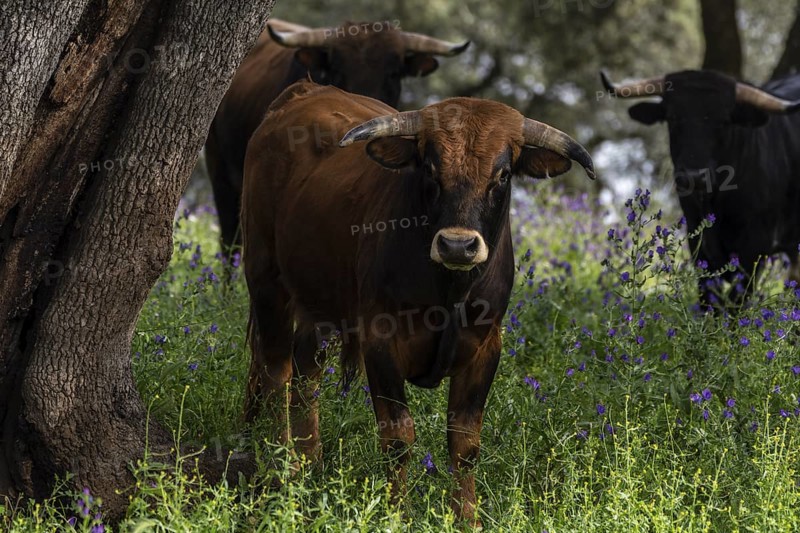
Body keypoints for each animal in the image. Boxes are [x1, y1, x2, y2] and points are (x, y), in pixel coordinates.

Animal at [241, 80, 594, 522]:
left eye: (503, 174)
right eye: (430, 168)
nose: (458, 245)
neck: (450, 290)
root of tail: (306, 90)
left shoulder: (486, 348)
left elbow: (465, 443)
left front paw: (467, 518)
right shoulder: (380, 342)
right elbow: (398, 438)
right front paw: (396, 514)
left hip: (316, 304)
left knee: (307, 376)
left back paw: (308, 467)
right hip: (266, 280)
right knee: (276, 373)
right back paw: (280, 470)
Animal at [601, 70, 800, 310]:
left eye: (724, 121)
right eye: (673, 117)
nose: (694, 177)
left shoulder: (754, 246)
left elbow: (738, 301)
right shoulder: (698, 241)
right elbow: (708, 297)